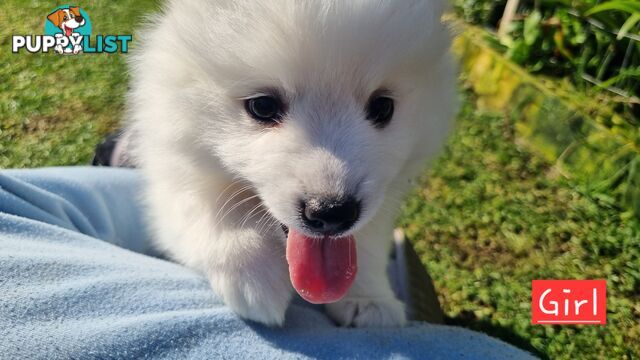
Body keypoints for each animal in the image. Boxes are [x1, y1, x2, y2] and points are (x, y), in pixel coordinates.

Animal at [126, 0, 456, 326]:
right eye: (262, 105)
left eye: (383, 107)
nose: (332, 213)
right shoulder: (173, 171)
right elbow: (206, 207)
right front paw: (254, 275)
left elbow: (368, 241)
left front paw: (370, 299)